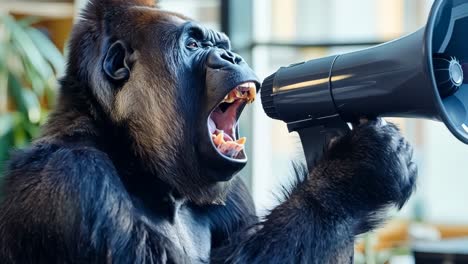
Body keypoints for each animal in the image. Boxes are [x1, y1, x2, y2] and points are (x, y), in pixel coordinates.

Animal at [0, 0, 416, 264]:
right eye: (193, 44)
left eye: (223, 46)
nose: (231, 56)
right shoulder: (72, 180)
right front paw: (356, 173)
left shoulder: (234, 195)